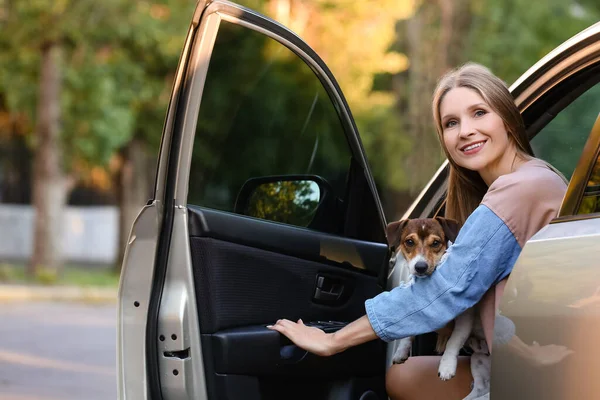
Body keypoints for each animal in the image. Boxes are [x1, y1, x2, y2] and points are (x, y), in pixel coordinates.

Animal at [386, 217, 490, 400]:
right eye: (409, 242)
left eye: (435, 243)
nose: (420, 267)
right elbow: (407, 334)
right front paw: (401, 351)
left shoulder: (465, 318)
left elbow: (454, 340)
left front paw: (447, 366)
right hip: (478, 360)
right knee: (479, 389)